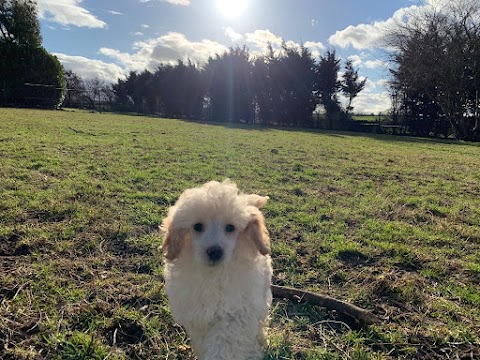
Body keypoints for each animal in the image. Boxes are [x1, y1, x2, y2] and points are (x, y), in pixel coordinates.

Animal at [161, 181, 272, 358]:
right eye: (197, 226)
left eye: (230, 227)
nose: (215, 251)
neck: (214, 274)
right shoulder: (198, 315)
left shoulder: (235, 314)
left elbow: (224, 345)